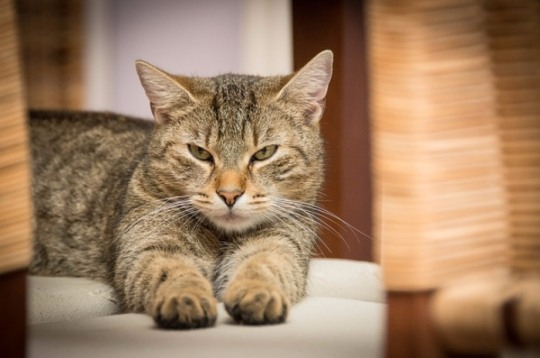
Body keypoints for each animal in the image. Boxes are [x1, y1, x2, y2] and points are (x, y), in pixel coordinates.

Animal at [30, 49, 334, 328]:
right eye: (199, 152)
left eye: (264, 153)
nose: (229, 194)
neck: (220, 237)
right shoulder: (149, 246)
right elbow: (172, 270)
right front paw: (184, 297)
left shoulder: (282, 242)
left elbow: (264, 264)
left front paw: (258, 292)